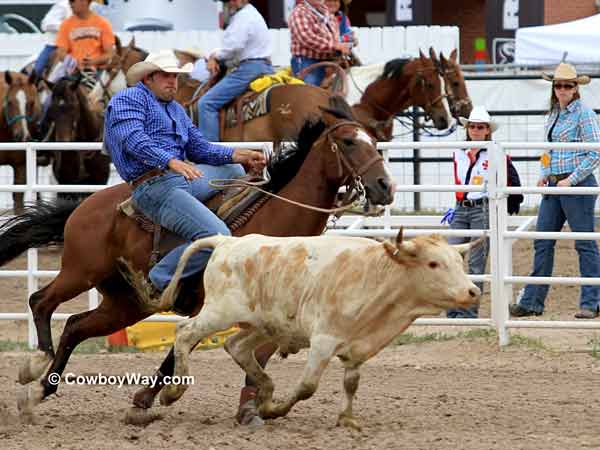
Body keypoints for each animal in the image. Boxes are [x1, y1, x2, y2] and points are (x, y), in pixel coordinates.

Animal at [5, 95, 398, 422]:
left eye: (374, 141)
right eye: (348, 142)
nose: (385, 186)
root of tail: (84, 206)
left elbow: (249, 354)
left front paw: (247, 406)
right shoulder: (212, 307)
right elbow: (184, 348)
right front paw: (154, 400)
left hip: (125, 303)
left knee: (75, 326)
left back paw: (40, 391)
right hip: (80, 272)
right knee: (41, 301)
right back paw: (34, 367)